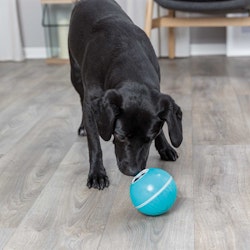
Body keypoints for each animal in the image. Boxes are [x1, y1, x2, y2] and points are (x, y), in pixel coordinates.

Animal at [68, 0, 184, 189]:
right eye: (120, 136)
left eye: (149, 139)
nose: (133, 172)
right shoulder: (92, 103)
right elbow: (95, 143)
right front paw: (97, 173)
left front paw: (165, 147)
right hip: (76, 75)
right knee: (80, 99)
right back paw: (83, 127)